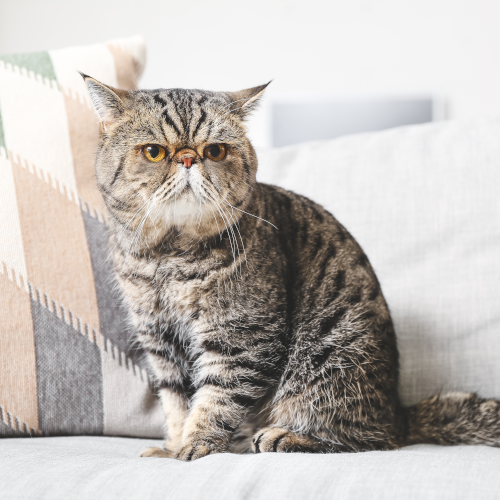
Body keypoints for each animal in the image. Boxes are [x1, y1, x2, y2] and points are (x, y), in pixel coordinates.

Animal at [82, 74, 500, 460]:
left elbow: (216, 401)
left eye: (215, 151)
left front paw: (196, 445)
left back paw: (284, 436)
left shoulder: (242, 339)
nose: (188, 158)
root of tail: (397, 412)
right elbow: (176, 401)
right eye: (153, 152)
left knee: (367, 438)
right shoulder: (160, 340)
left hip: (327, 362)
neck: (169, 257)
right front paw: (172, 445)